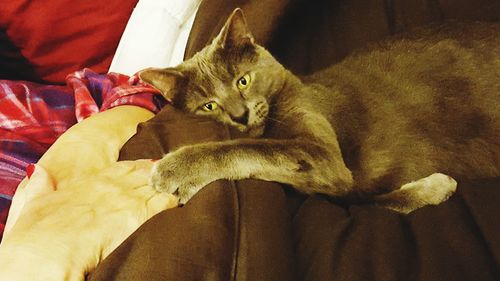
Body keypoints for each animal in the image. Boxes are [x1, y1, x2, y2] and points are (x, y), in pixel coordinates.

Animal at [141, 9, 500, 213]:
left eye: (243, 80)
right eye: (209, 105)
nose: (239, 115)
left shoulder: (326, 157)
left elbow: (249, 148)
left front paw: (175, 169)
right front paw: (437, 187)